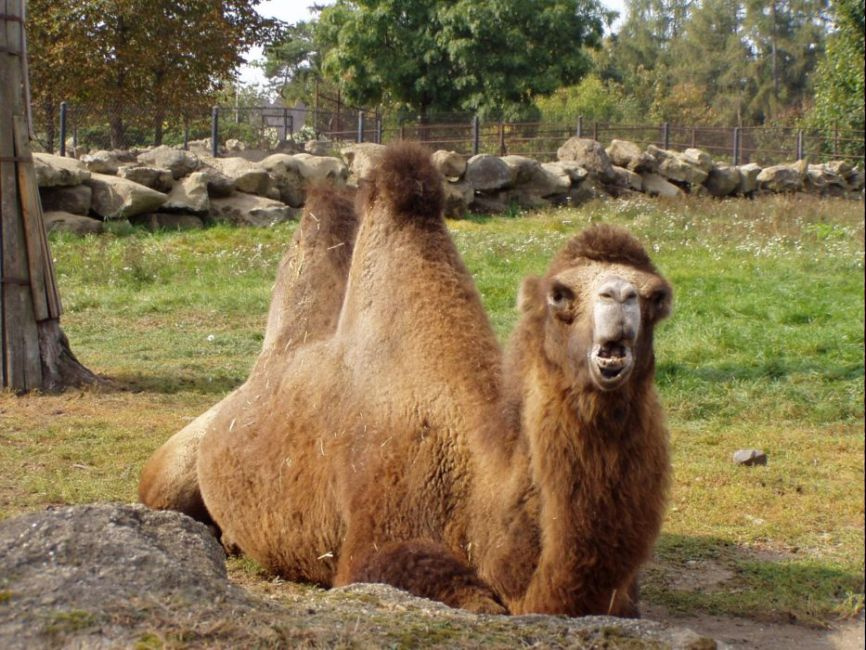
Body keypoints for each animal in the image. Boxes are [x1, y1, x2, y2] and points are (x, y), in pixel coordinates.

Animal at [140, 142, 672, 617]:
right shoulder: (377, 535)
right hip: (174, 470)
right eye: (560, 295)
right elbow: (468, 599)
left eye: (657, 297)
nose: (620, 299)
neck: (477, 474)